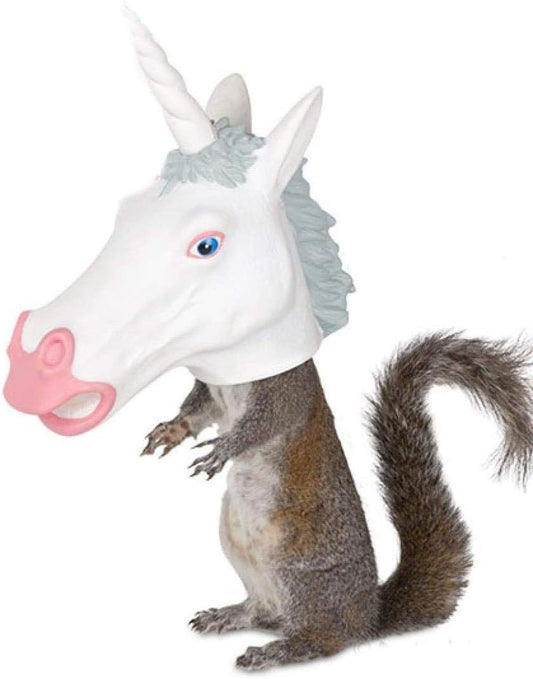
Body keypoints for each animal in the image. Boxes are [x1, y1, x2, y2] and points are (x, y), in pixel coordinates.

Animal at [141, 332, 532, 671]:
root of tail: (366, 617)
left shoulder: (283, 386)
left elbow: (262, 422)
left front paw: (223, 449)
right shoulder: (211, 389)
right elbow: (199, 408)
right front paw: (171, 430)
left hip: (303, 577)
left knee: (325, 640)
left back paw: (278, 651)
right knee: (265, 611)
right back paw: (229, 615)